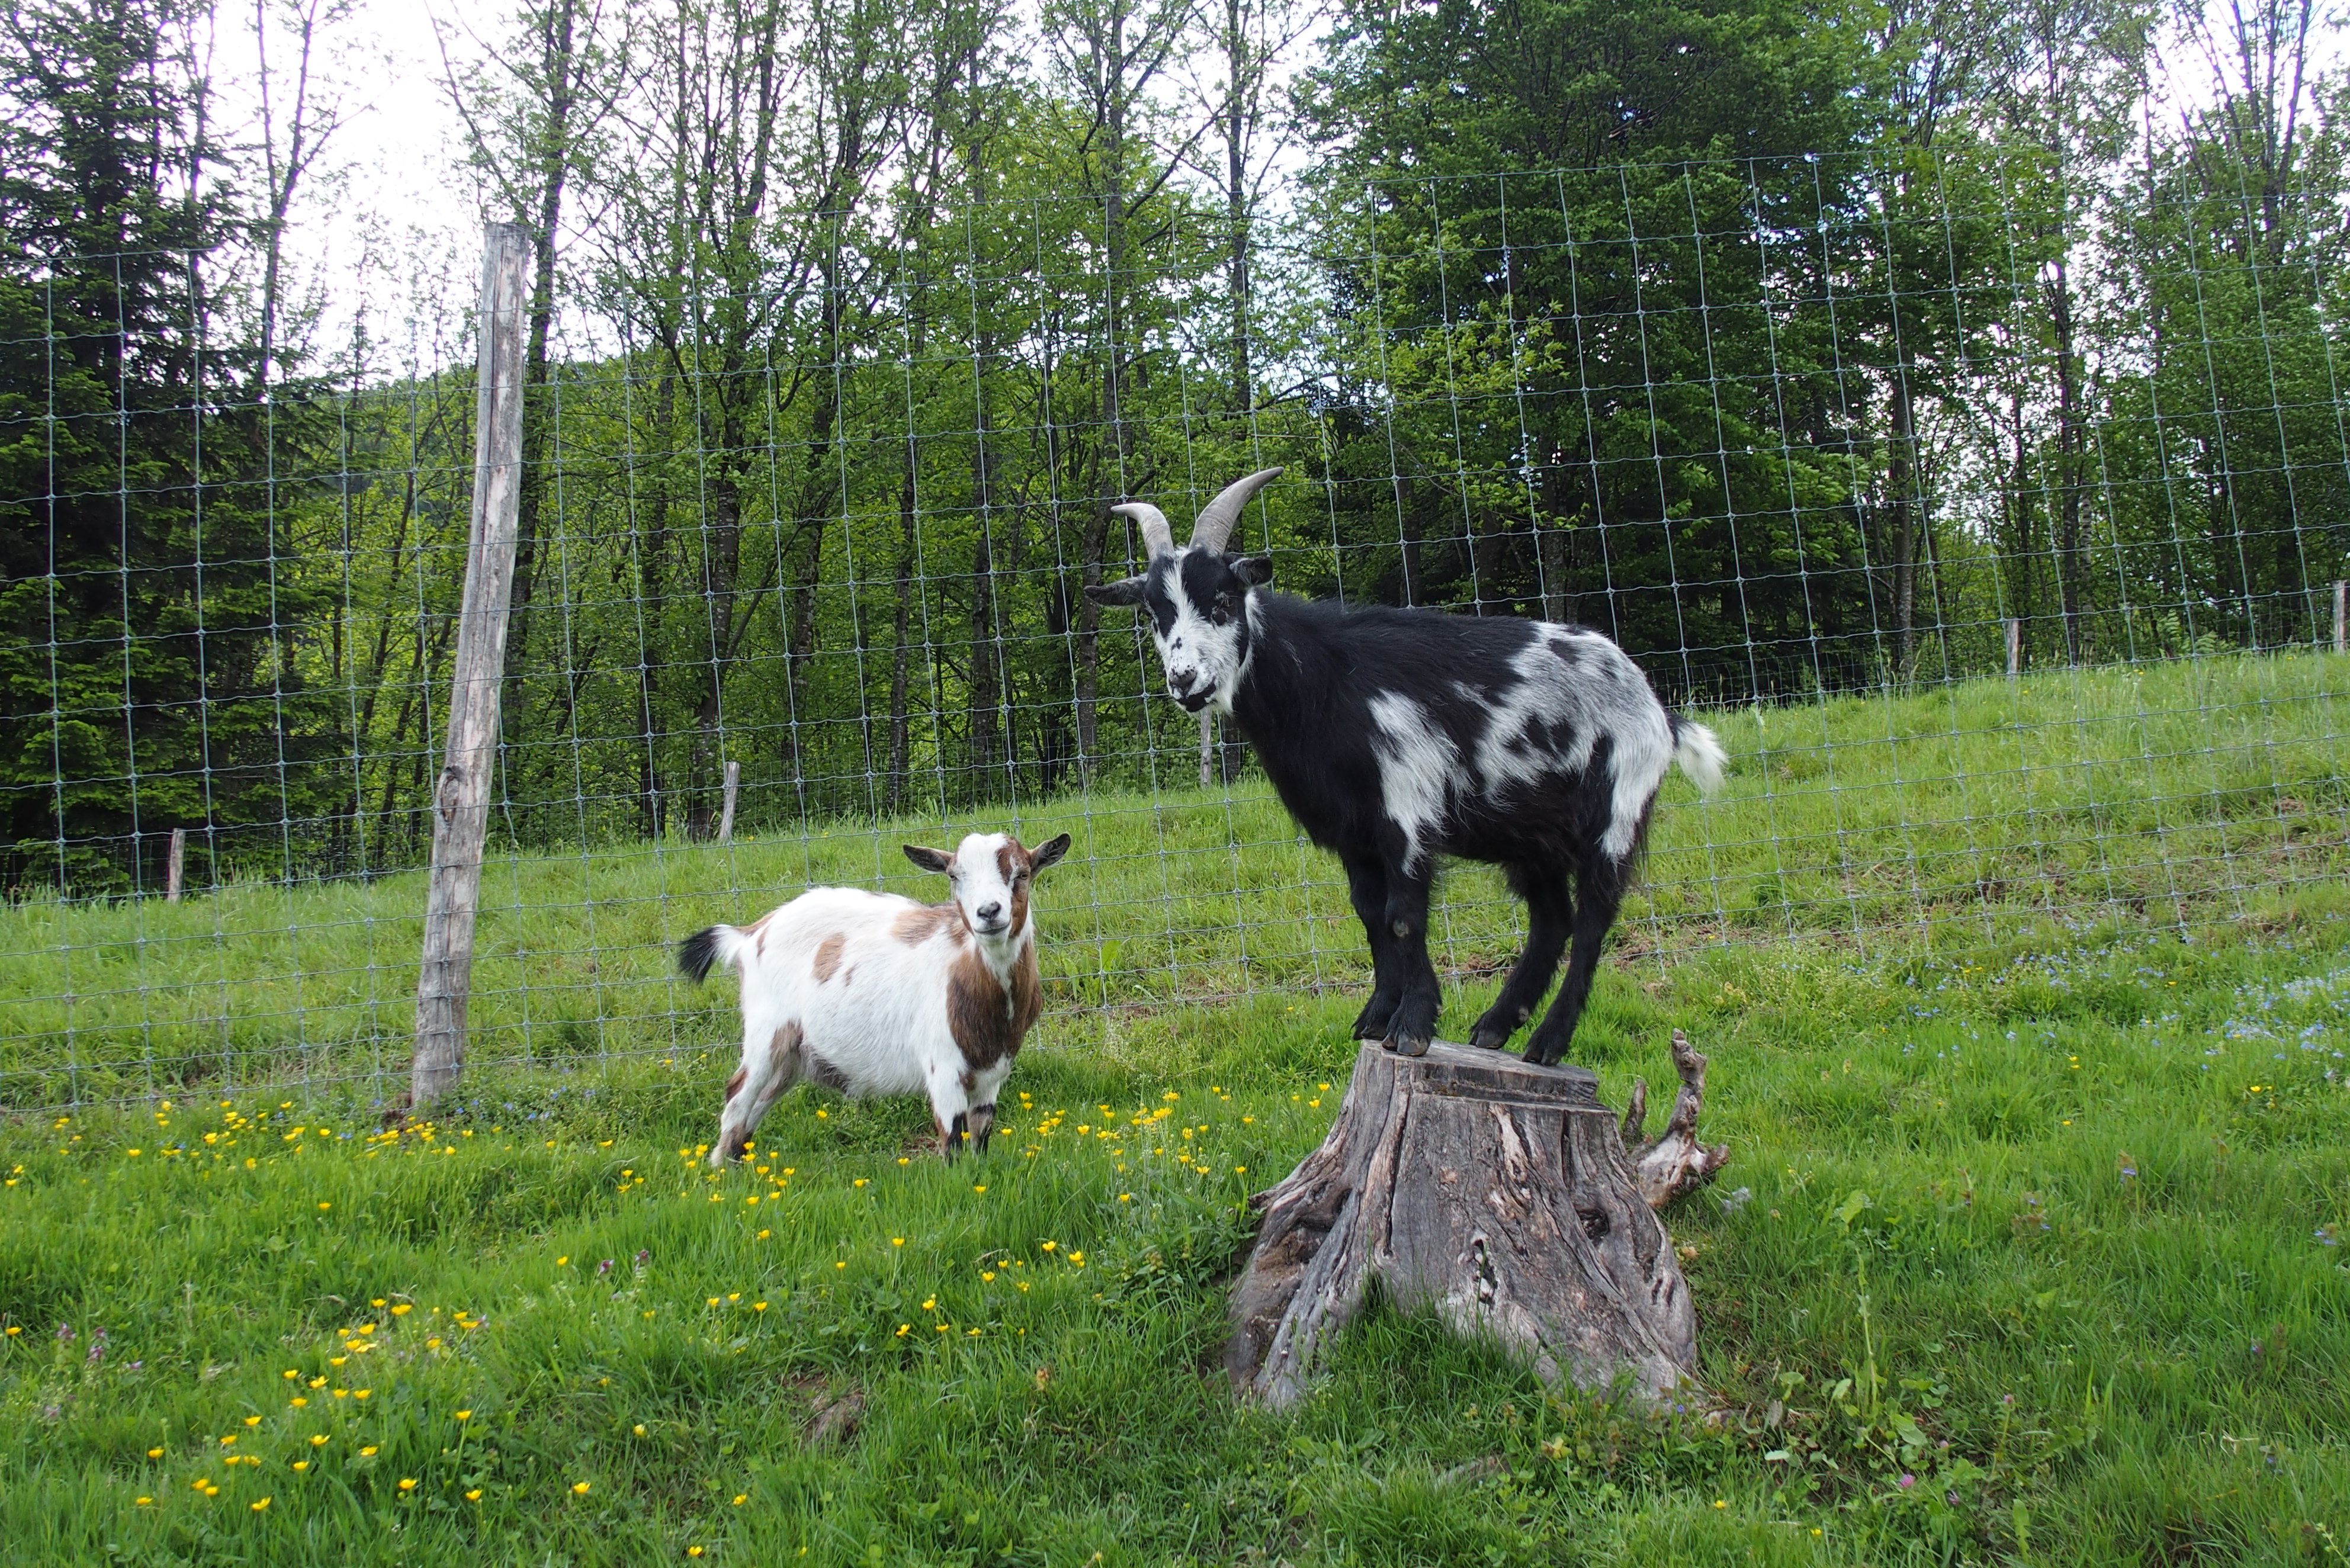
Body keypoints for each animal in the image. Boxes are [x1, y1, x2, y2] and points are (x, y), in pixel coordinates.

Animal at [679, 831, 1070, 1166]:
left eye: (1022, 874)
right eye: (954, 877)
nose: (988, 913)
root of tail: (751, 934)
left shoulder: (993, 1074)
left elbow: (981, 1138)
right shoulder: (943, 1068)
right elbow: (953, 1144)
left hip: (793, 1053)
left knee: (758, 1103)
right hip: (766, 1033)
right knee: (737, 1095)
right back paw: (721, 1176)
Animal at [1085, 468, 1724, 1065]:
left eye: (1222, 600)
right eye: (1153, 613)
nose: (1184, 681)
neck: (1324, 682)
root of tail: (1657, 709)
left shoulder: (1406, 805)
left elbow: (1402, 917)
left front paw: (1412, 1026)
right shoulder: (1352, 829)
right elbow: (1370, 915)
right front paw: (1376, 1017)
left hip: (1616, 812)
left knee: (1592, 921)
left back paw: (1548, 1041)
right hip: (1531, 837)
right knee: (1552, 920)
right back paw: (1497, 1024)